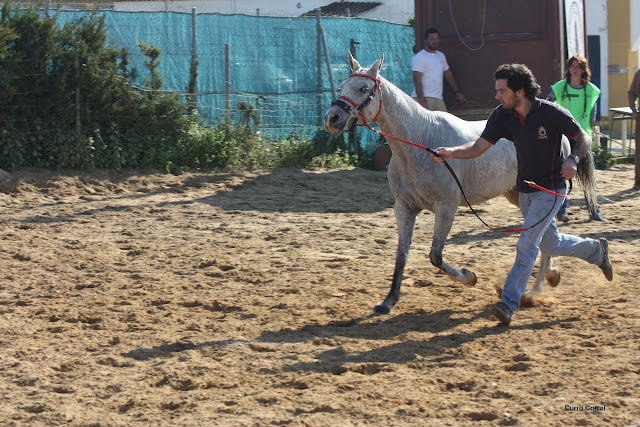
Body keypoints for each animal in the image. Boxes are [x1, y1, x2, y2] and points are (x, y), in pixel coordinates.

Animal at [324, 52, 600, 314]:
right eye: (342, 86)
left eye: (364, 89)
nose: (332, 118)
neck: (421, 144)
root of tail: (564, 131)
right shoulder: (404, 207)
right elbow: (401, 255)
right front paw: (388, 301)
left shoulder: (447, 207)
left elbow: (435, 256)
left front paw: (470, 277)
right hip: (517, 195)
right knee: (546, 236)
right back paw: (550, 276)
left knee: (543, 237)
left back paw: (534, 289)